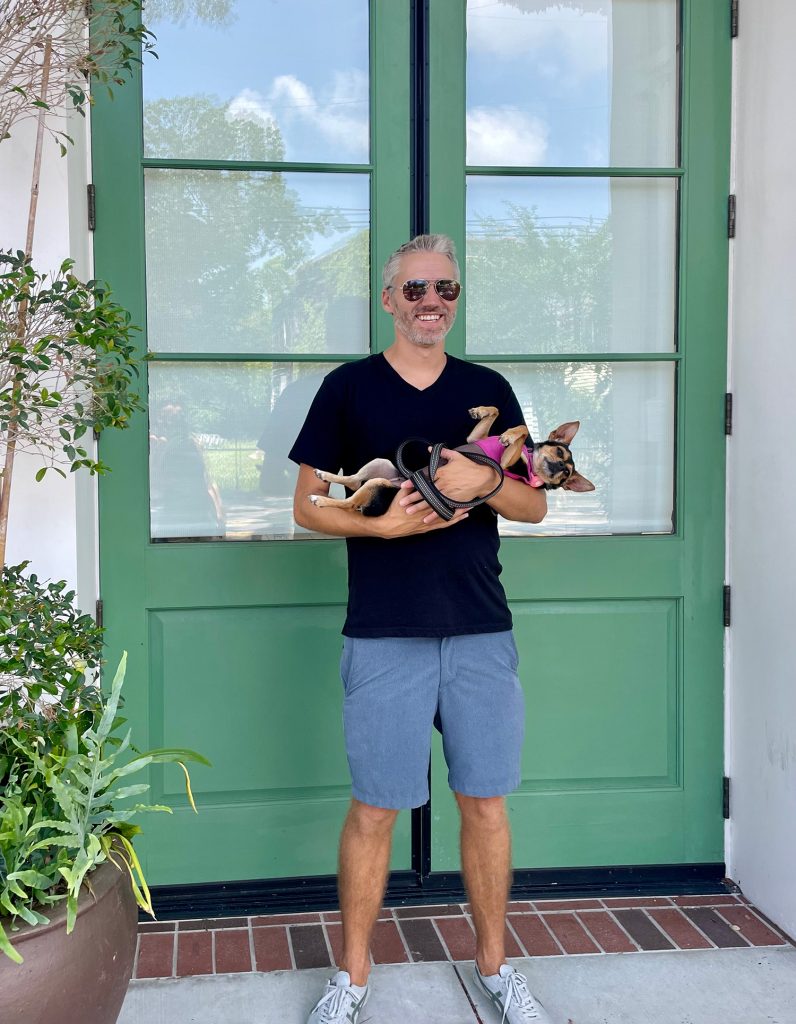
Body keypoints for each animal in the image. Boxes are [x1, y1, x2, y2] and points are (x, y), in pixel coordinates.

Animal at [307, 405, 594, 516]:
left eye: (565, 476)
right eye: (561, 455)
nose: (559, 468)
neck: (529, 462)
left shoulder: (503, 464)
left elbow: (522, 429)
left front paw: (510, 435)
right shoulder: (475, 437)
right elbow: (499, 414)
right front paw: (482, 412)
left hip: (377, 483)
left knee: (350, 502)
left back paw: (321, 499)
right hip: (382, 464)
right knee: (353, 480)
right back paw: (324, 475)